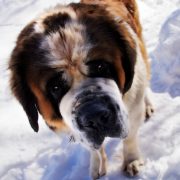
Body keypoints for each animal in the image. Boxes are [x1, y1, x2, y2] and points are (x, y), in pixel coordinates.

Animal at [9, 0, 154, 179]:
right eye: (55, 87)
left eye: (100, 67)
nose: (96, 116)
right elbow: (93, 148)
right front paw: (97, 165)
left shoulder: (131, 108)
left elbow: (130, 137)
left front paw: (131, 161)